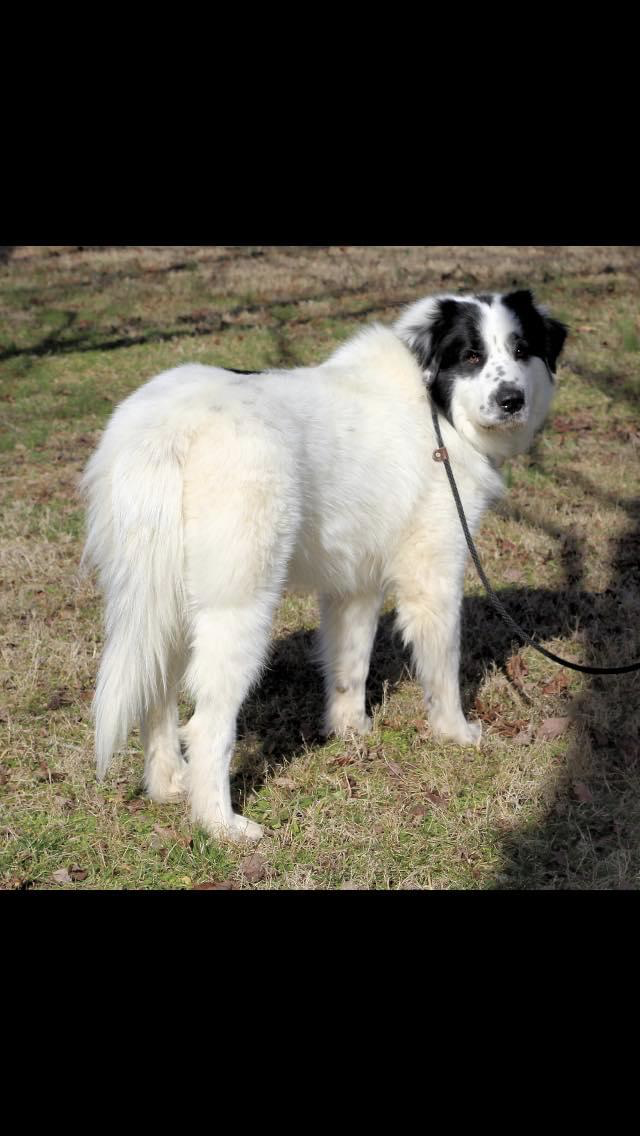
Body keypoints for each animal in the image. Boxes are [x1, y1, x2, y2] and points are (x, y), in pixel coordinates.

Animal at [80, 288, 566, 840]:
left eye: (521, 350)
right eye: (471, 357)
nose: (512, 400)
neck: (434, 409)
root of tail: (170, 424)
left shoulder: (354, 584)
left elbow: (350, 663)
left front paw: (351, 731)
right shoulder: (434, 575)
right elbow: (443, 667)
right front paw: (457, 734)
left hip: (165, 599)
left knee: (156, 694)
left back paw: (168, 787)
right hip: (239, 605)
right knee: (206, 726)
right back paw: (222, 826)